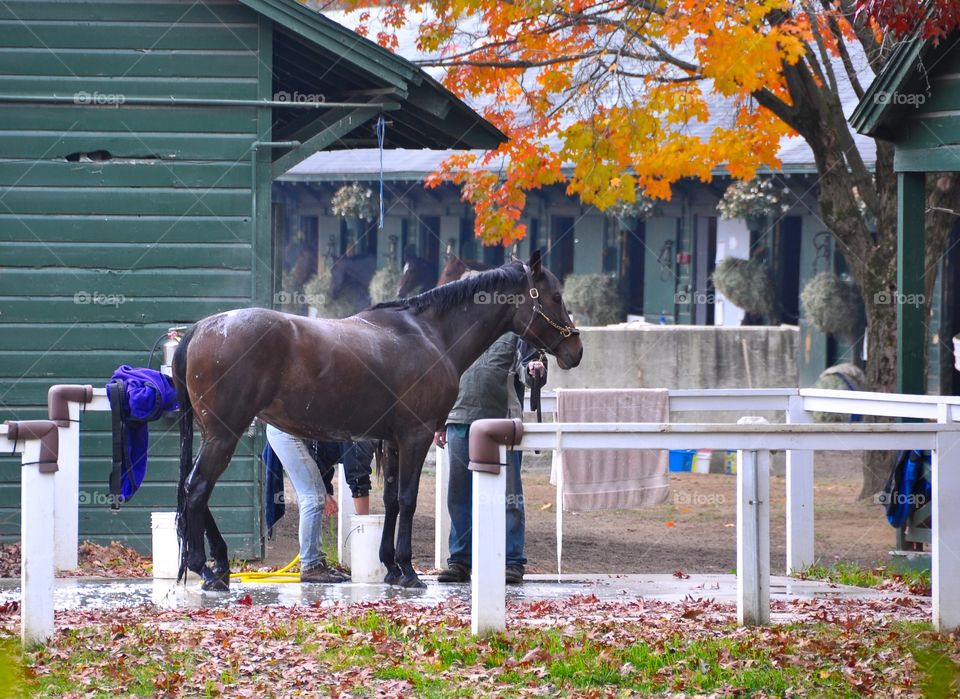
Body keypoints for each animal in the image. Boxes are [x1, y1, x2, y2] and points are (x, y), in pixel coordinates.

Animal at [171, 252, 584, 592]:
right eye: (555, 297)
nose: (575, 350)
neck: (430, 334)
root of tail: (202, 328)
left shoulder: (395, 440)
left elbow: (391, 500)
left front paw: (390, 567)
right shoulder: (416, 435)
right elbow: (407, 499)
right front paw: (408, 570)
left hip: (216, 434)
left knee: (194, 489)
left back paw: (218, 566)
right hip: (224, 434)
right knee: (197, 489)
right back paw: (205, 570)